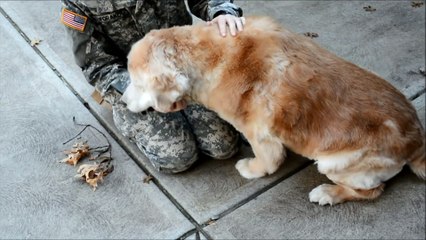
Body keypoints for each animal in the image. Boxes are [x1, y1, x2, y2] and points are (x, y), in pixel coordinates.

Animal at [121, 15, 424, 205]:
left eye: (136, 83)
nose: (121, 100)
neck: (209, 56)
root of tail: (417, 141)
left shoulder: (259, 132)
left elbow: (268, 160)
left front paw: (251, 168)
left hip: (333, 163)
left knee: (373, 190)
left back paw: (328, 193)